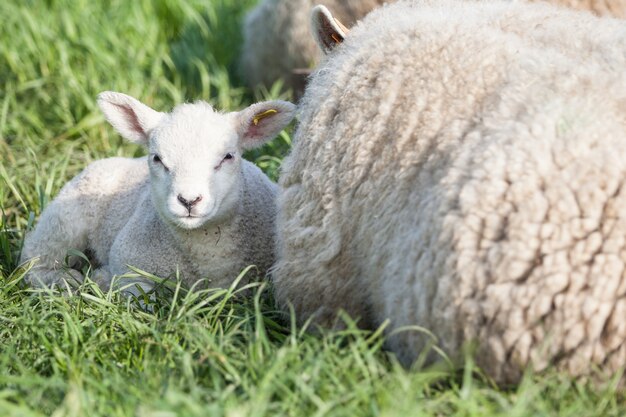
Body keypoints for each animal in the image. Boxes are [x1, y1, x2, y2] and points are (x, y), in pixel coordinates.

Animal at [21, 91, 294, 296]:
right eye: (157, 158)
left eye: (228, 157)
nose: (189, 200)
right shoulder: (128, 261)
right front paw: (104, 280)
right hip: (63, 221)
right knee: (32, 260)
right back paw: (64, 280)